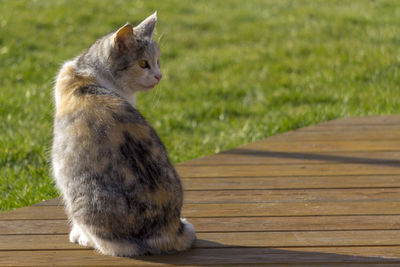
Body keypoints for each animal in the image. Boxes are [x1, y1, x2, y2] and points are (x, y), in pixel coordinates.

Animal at [51, 12, 195, 258]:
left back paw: (84, 238)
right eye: (143, 64)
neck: (87, 73)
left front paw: (78, 235)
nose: (159, 75)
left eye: (158, 61)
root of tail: (167, 228)